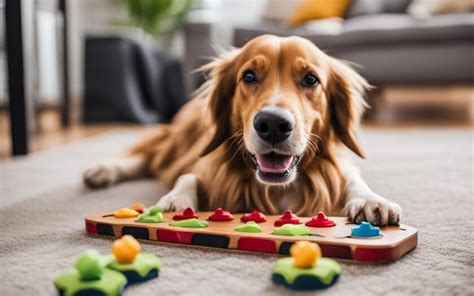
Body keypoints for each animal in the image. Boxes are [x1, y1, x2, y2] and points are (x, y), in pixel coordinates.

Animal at [83, 35, 402, 228]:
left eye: (310, 79)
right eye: (249, 76)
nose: (272, 124)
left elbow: (352, 177)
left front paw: (372, 200)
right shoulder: (204, 164)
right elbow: (189, 176)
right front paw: (176, 201)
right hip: (179, 138)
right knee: (148, 155)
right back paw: (103, 170)